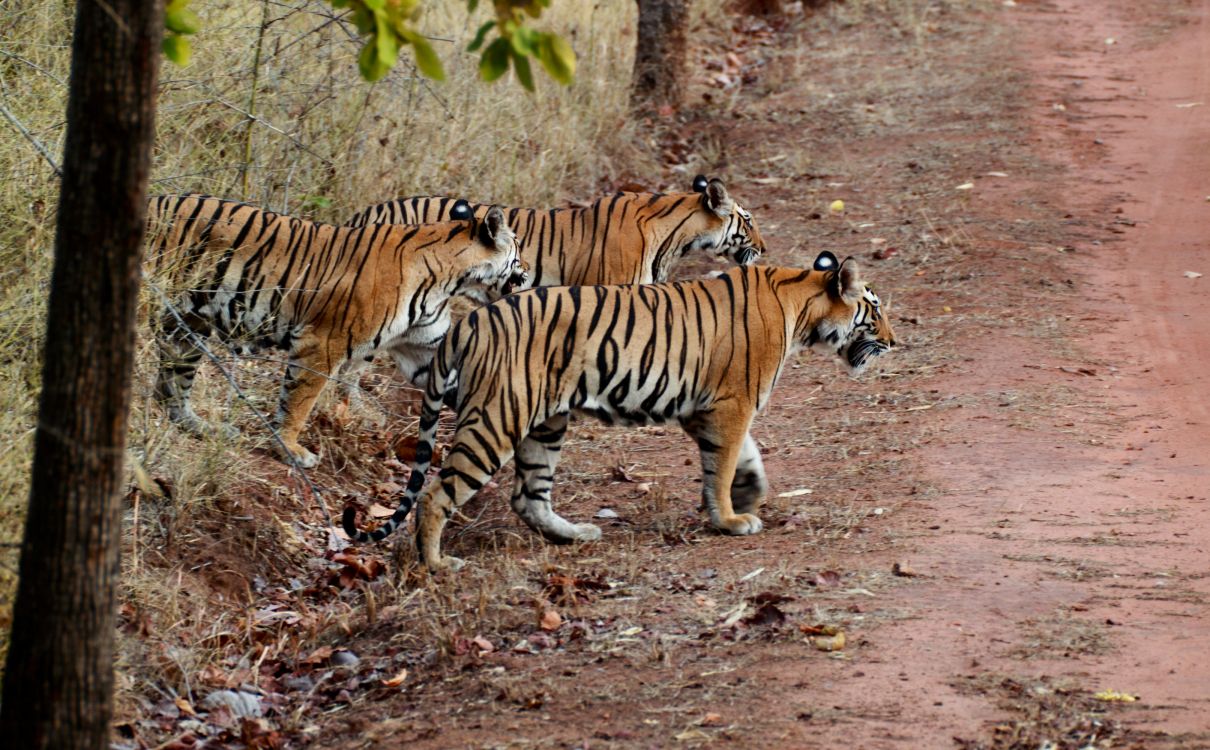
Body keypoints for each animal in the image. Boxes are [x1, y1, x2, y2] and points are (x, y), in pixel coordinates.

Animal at [144, 194, 526, 468]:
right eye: (519, 250)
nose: (526, 277)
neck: (451, 279)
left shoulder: (425, 348)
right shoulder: (322, 344)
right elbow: (299, 401)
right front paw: (292, 450)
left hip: (188, 329)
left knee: (171, 391)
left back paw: (204, 428)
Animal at [342, 251, 896, 570]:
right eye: (875, 311)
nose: (894, 342)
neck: (801, 306)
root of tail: (470, 322)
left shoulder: (705, 408)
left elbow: (742, 456)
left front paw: (749, 493)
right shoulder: (732, 403)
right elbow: (724, 463)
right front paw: (730, 519)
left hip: (545, 423)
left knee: (528, 496)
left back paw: (575, 535)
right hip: (497, 420)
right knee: (437, 494)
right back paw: (437, 565)